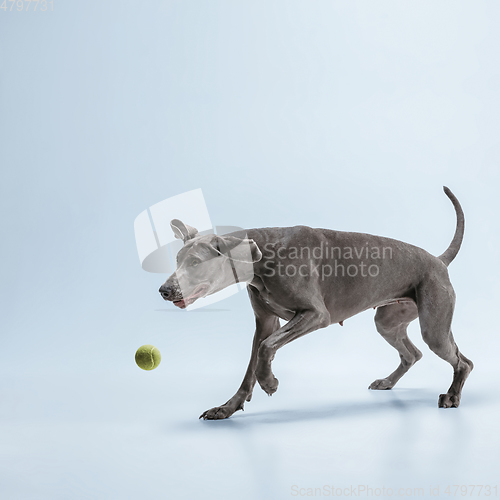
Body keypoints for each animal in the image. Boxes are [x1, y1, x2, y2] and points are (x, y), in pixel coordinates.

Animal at [159, 187, 472, 418]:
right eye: (177, 259)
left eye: (195, 262)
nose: (164, 290)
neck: (263, 253)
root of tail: (438, 260)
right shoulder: (266, 321)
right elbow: (253, 361)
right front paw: (227, 407)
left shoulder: (316, 315)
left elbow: (266, 347)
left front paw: (269, 382)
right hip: (388, 320)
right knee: (412, 354)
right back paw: (388, 382)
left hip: (434, 327)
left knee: (463, 362)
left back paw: (452, 396)